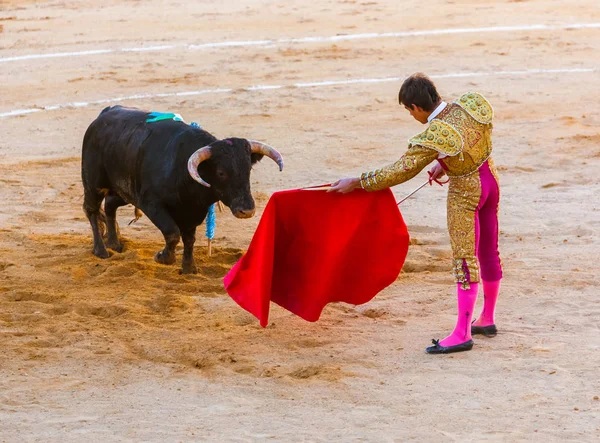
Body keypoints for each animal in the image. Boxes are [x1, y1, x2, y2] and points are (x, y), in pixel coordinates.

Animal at [80, 106, 284, 274]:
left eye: (248, 169)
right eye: (221, 172)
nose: (247, 210)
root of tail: (104, 114)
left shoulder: (193, 212)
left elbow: (189, 239)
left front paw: (189, 268)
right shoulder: (151, 204)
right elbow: (172, 233)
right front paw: (163, 257)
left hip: (124, 191)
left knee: (110, 205)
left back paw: (114, 243)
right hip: (94, 185)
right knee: (91, 210)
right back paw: (101, 250)